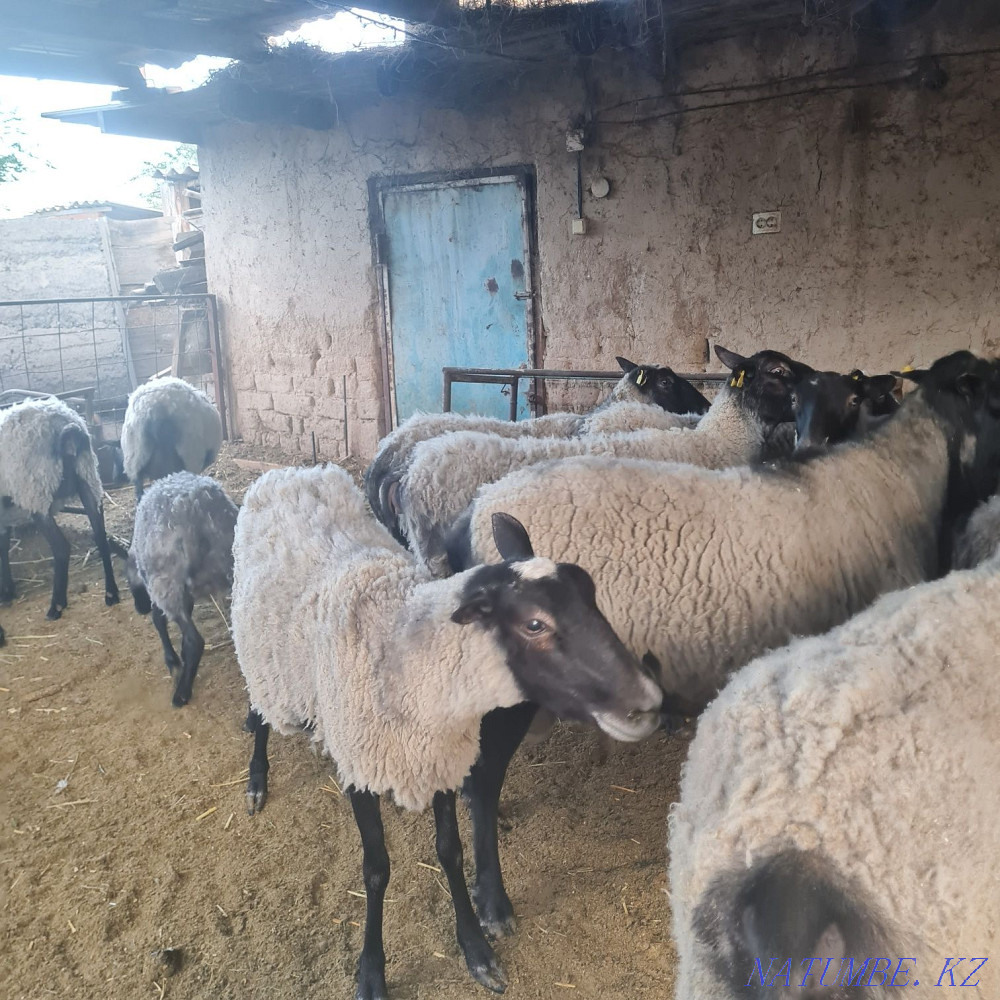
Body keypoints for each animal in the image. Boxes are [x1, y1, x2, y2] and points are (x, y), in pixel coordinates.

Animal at [0, 396, 119, 620]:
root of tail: (65, 423)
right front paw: (7, 592)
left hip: (36, 491)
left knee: (61, 547)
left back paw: (56, 606)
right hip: (87, 477)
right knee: (100, 535)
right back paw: (111, 593)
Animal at [125, 472, 238, 708]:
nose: (140, 608)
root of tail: (200, 509)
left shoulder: (160, 584)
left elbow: (159, 621)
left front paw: (174, 662)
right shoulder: (186, 591)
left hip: (167, 584)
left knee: (196, 641)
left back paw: (182, 694)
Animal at [231, 463, 663, 1000]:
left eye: (593, 595)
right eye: (535, 624)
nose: (648, 701)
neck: (405, 657)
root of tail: (294, 470)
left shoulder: (438, 757)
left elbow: (451, 852)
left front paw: (476, 949)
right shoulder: (363, 768)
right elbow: (376, 870)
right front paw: (371, 971)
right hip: (263, 658)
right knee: (260, 711)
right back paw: (257, 778)